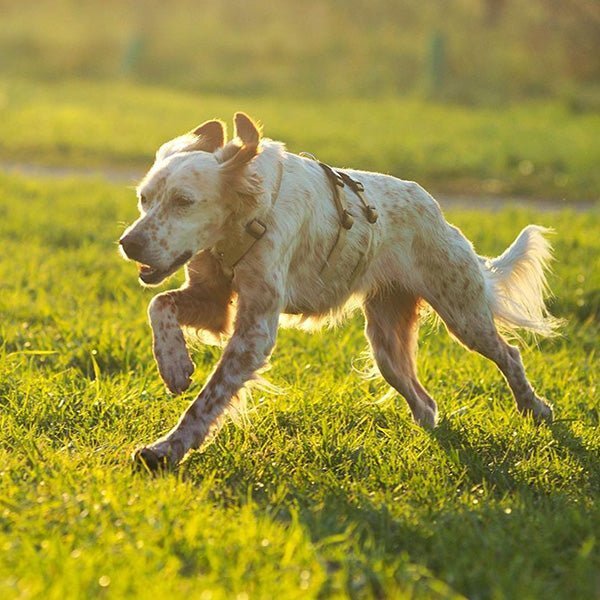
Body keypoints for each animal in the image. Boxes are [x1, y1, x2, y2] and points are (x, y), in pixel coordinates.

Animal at [119, 111, 560, 468]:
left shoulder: (254, 332)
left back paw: (534, 407)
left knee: (510, 354)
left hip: (464, 314)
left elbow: (207, 399)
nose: (129, 243)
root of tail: (434, 208)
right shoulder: (214, 302)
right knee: (426, 400)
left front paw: (166, 449)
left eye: (183, 201)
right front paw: (173, 365)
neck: (247, 215)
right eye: (144, 199)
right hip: (386, 345)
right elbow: (159, 305)